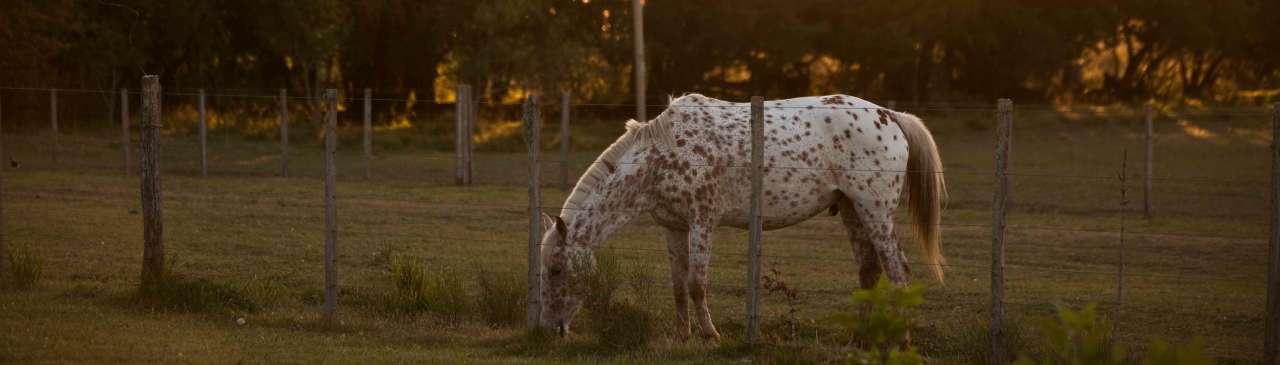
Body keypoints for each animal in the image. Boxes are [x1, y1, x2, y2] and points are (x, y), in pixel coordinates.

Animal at [535, 92, 947, 338]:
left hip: (875, 211)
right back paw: (862, 339)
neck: (661, 156)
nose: (550, 328)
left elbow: (697, 283)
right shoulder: (672, 227)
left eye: (555, 270)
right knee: (869, 271)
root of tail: (889, 115)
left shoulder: (703, 221)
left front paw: (710, 336)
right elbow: (678, 285)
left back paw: (899, 338)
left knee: (898, 272)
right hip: (852, 209)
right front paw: (683, 336)